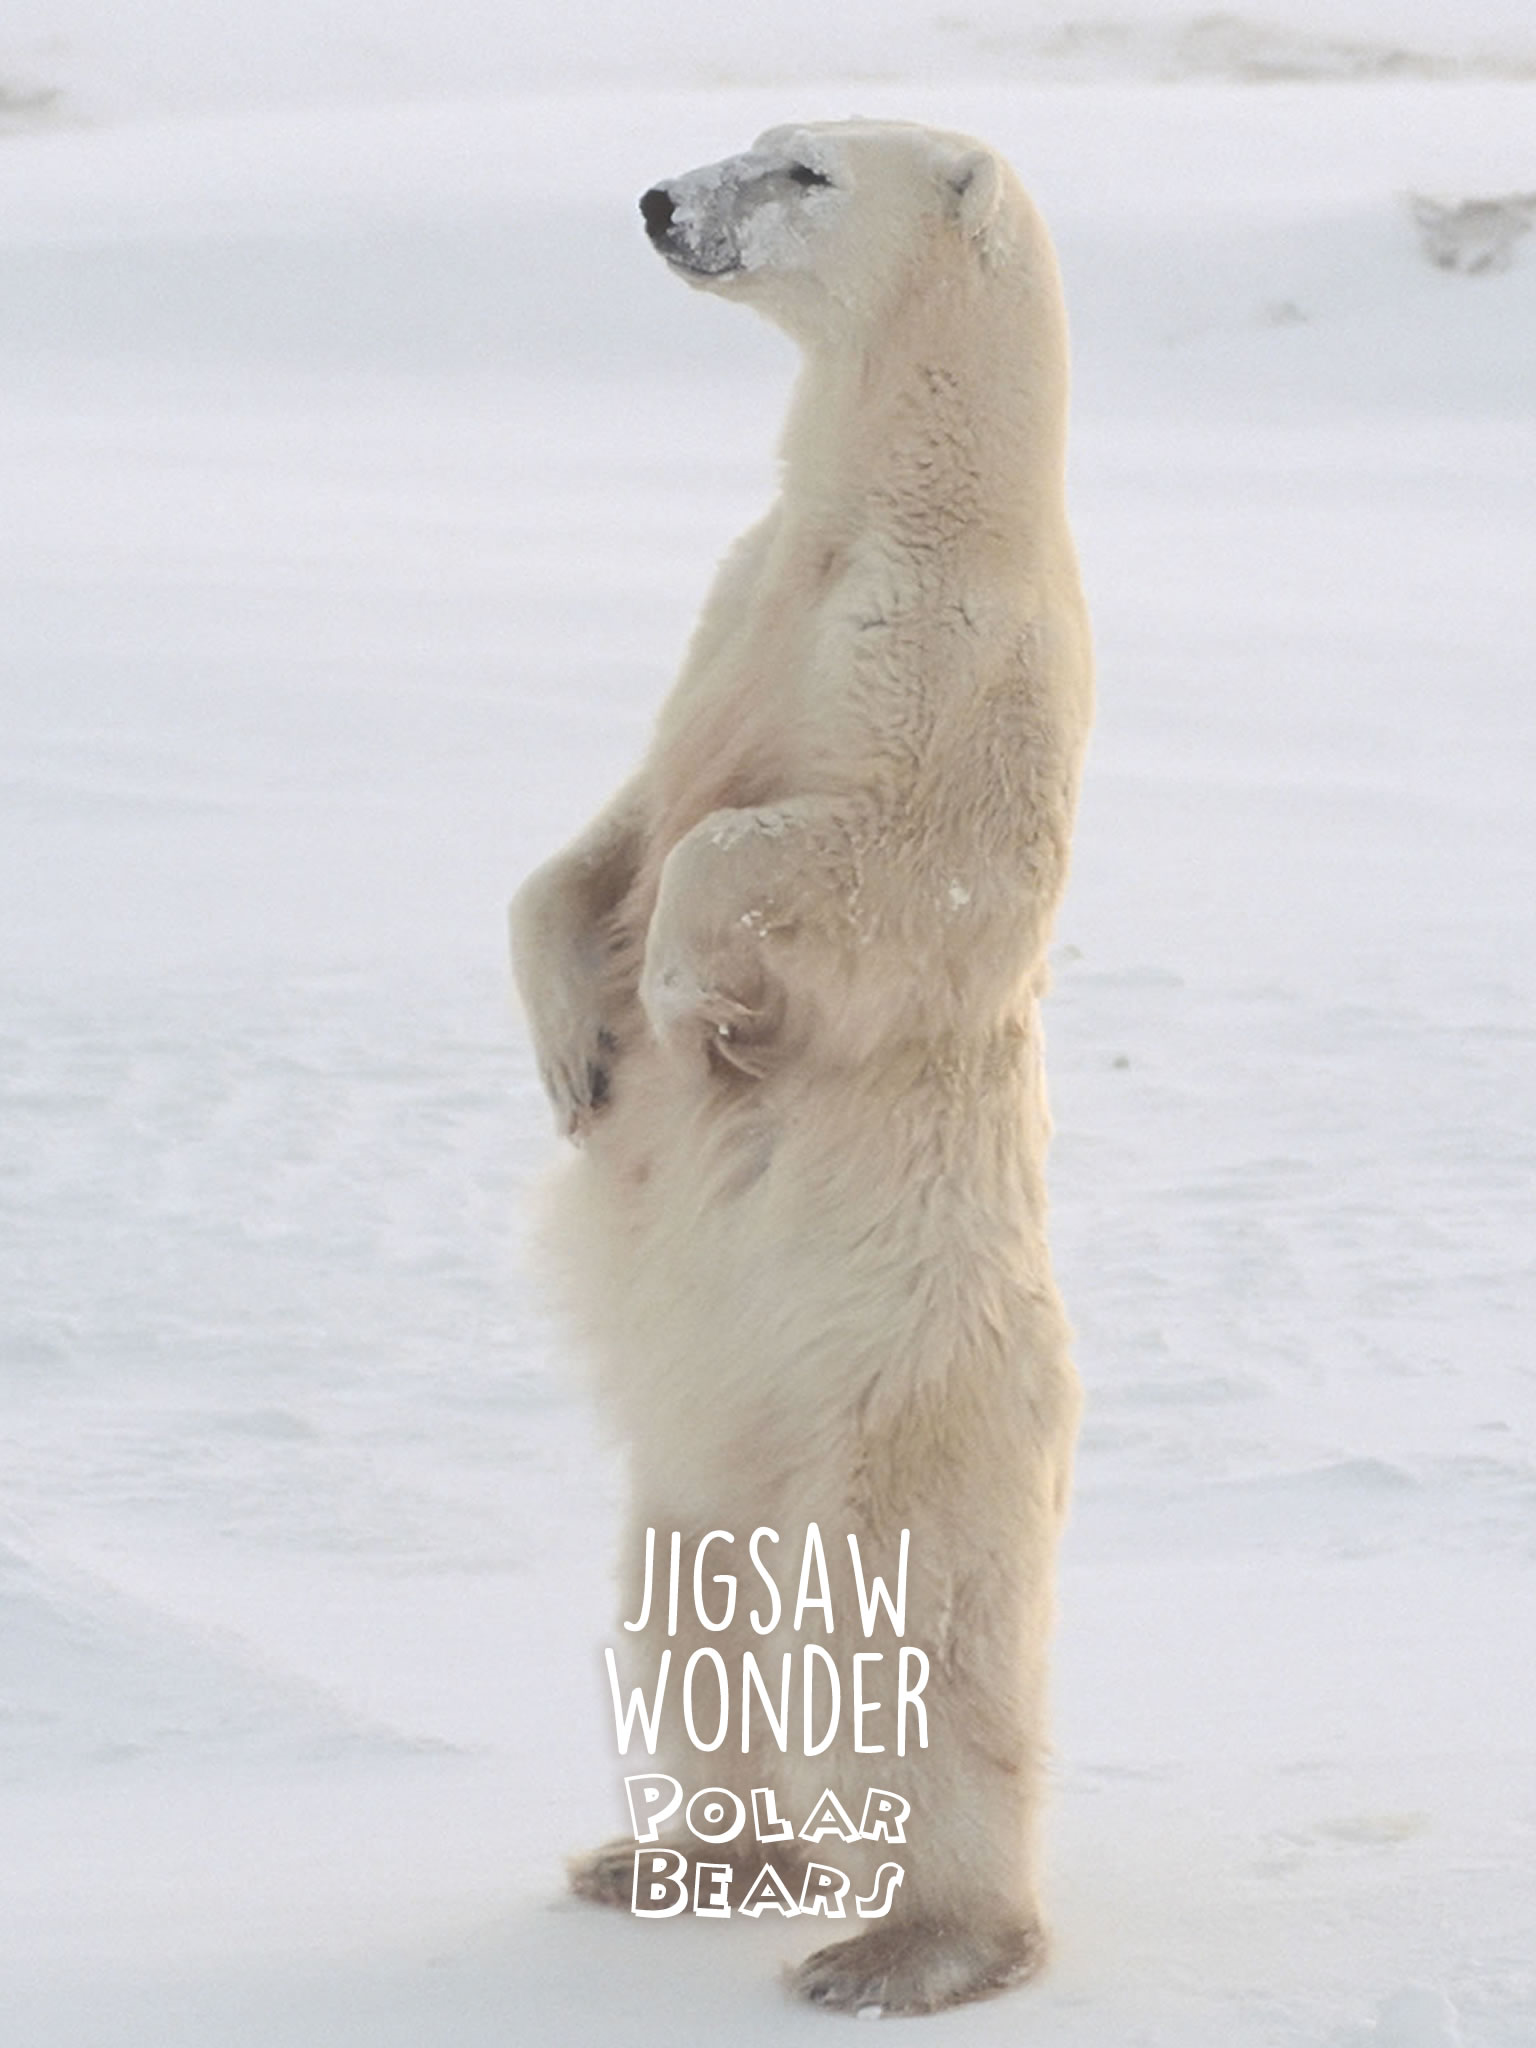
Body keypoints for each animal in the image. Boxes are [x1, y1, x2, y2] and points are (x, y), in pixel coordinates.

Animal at [509, 119, 1093, 2017]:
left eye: (806, 168)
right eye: (752, 138)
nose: (656, 199)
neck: (889, 506)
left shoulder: (958, 654)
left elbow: (881, 863)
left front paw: (694, 999)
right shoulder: (741, 602)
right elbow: (604, 836)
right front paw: (576, 1048)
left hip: (905, 1406)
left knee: (899, 1640)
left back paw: (905, 1944)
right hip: (704, 1457)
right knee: (690, 1611)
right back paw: (673, 1855)